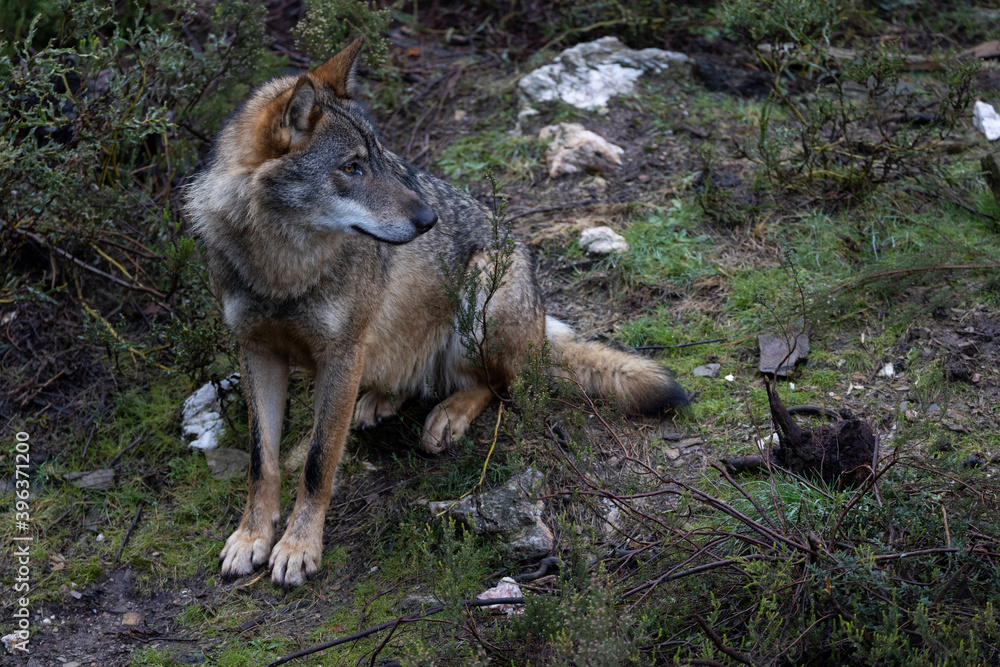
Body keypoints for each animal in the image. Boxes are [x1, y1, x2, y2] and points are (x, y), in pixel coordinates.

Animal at [184, 38, 689, 587]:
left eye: (382, 158)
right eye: (352, 167)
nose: (429, 219)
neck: (282, 270)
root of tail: (540, 315)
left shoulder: (341, 353)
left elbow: (318, 465)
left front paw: (298, 548)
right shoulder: (258, 351)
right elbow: (263, 461)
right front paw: (251, 537)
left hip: (478, 306)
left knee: (496, 385)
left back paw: (447, 416)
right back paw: (377, 400)